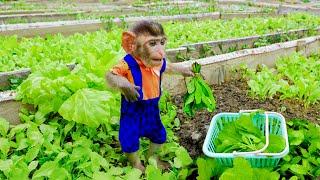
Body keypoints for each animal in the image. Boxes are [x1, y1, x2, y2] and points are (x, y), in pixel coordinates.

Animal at [106, 19, 194, 172]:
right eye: (152, 43)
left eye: (162, 42)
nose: (161, 51)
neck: (144, 64)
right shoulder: (126, 61)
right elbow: (112, 75)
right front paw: (129, 89)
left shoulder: (161, 63)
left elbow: (167, 66)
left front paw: (186, 70)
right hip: (130, 123)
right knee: (129, 141)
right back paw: (137, 167)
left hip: (154, 123)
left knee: (159, 136)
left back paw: (153, 161)